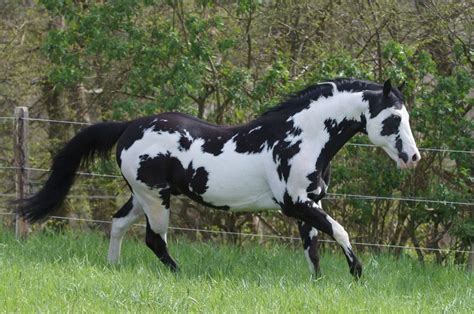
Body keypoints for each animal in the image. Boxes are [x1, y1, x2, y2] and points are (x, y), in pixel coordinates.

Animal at [19, 78, 418, 278]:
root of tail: (130, 126)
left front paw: (319, 284)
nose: (412, 158)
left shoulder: (310, 204)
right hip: (156, 199)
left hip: (141, 196)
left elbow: (314, 251)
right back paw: (181, 274)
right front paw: (357, 273)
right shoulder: (297, 205)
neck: (302, 136)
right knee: (155, 240)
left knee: (117, 224)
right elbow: (340, 232)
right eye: (394, 119)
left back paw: (113, 268)